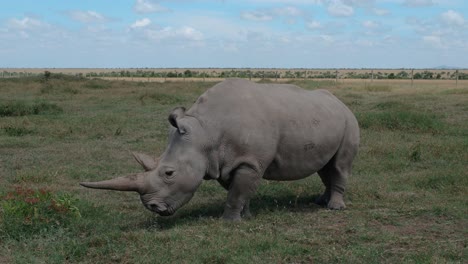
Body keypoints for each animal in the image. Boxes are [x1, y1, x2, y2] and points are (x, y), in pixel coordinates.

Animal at [80, 78, 360, 221]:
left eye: (169, 173)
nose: (153, 208)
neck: (204, 131)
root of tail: (340, 102)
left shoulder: (249, 161)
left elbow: (237, 192)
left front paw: (229, 223)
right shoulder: (226, 162)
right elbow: (238, 190)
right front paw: (246, 216)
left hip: (349, 120)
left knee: (339, 166)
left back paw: (334, 209)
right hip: (324, 118)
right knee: (325, 167)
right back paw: (320, 202)